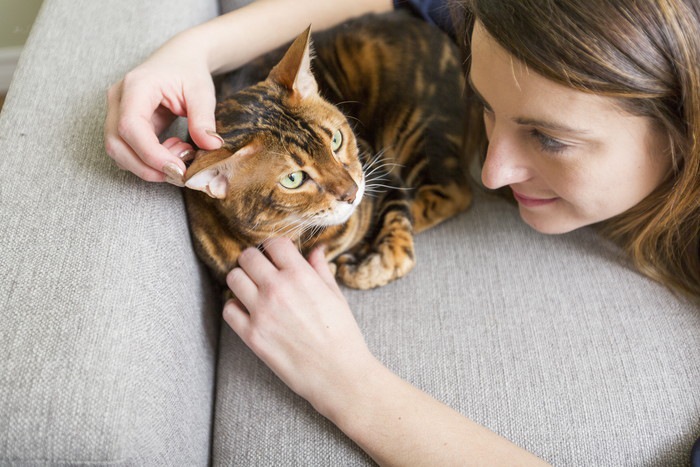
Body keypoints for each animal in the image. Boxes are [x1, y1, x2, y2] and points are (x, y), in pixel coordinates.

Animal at [183, 10, 474, 288]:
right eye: (293, 179)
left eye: (336, 141)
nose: (351, 194)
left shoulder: (379, 174)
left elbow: (397, 242)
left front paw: (368, 267)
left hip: (417, 129)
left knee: (453, 194)